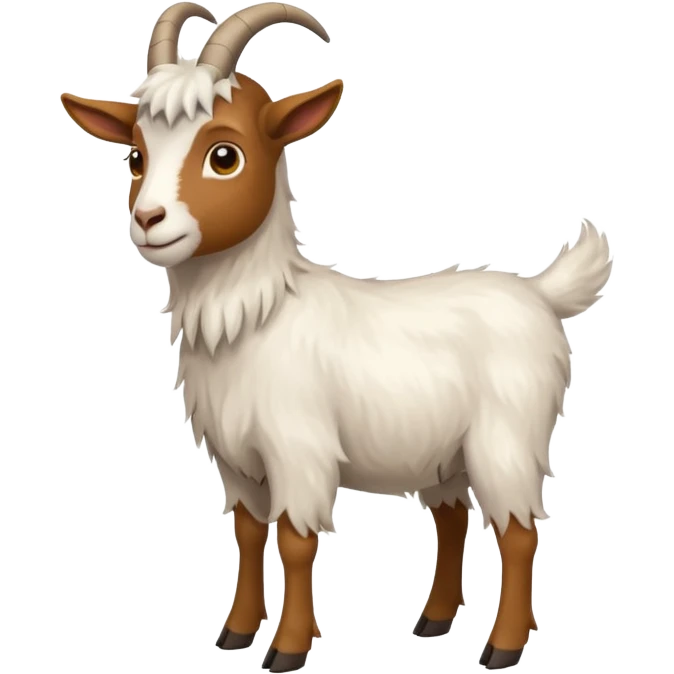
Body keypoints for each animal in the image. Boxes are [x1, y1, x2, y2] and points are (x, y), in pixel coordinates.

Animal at [60, 2, 613, 671]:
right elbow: (249, 534)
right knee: (452, 518)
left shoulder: (299, 450)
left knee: (518, 529)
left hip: (505, 438)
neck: (259, 312)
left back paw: (502, 646)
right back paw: (433, 619)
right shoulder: (238, 463)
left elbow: (296, 542)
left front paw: (288, 648)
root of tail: (539, 294)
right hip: (445, 452)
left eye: (225, 155)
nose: (147, 221)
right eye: (136, 157)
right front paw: (236, 632)